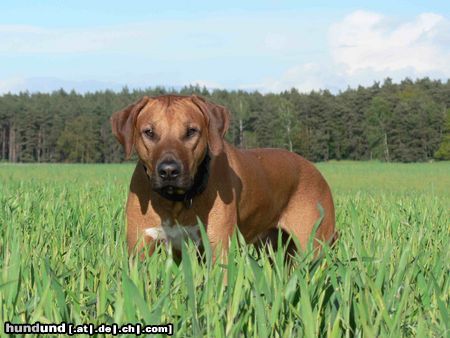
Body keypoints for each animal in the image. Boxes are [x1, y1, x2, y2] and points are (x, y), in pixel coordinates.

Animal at [110, 93, 336, 260]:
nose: (168, 171)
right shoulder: (139, 246)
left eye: (191, 131)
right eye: (149, 132)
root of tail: (313, 167)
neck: (175, 201)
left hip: (315, 243)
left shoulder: (217, 245)